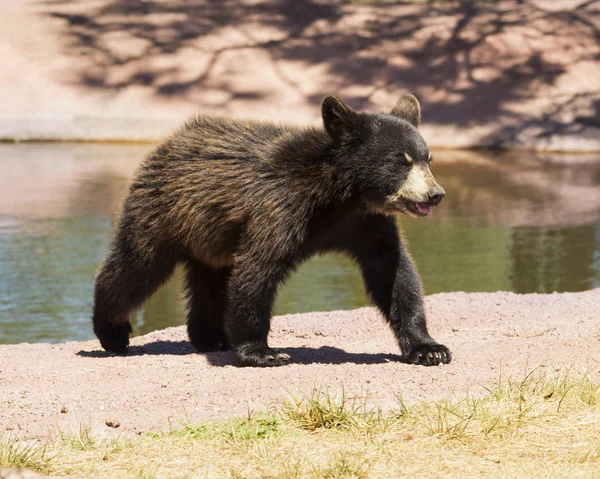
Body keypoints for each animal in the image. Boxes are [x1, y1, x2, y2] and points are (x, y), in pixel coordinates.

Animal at [92, 94, 450, 368]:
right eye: (400, 161)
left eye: (427, 158)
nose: (435, 194)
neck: (340, 196)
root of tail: (168, 141)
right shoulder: (280, 209)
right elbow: (258, 268)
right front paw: (263, 352)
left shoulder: (367, 224)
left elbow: (392, 272)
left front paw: (429, 349)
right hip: (162, 213)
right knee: (136, 267)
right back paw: (112, 332)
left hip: (210, 239)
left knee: (210, 281)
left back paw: (210, 337)